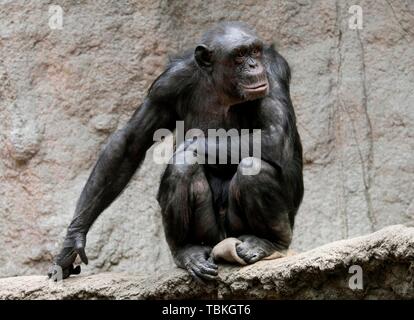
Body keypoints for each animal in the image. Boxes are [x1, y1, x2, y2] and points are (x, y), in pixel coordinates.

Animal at [47, 21, 304, 282]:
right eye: (240, 54)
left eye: (255, 51)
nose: (253, 65)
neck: (220, 84)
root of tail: (222, 242)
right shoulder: (167, 85)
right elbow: (130, 142)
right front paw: (72, 241)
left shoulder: (272, 70)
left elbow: (274, 134)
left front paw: (189, 145)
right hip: (210, 237)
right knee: (182, 170)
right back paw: (187, 250)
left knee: (254, 167)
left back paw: (267, 243)